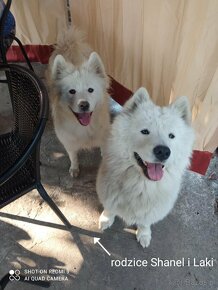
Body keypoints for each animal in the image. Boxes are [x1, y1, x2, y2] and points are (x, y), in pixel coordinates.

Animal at [47, 28, 110, 177]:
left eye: (90, 90)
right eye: (72, 91)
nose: (84, 105)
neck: (85, 128)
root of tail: (67, 44)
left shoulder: (104, 135)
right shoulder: (69, 142)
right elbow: (73, 156)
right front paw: (74, 168)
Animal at [97, 88, 194, 247]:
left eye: (171, 136)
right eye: (145, 131)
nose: (163, 151)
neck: (141, 185)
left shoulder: (152, 210)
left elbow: (145, 222)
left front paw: (144, 235)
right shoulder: (108, 194)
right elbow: (110, 209)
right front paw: (106, 219)